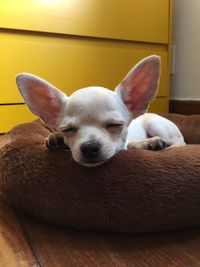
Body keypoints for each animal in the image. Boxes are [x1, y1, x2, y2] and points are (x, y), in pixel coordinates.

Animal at [15, 55, 184, 166]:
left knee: (178, 143)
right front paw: (57, 139)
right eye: (67, 130)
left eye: (115, 125)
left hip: (156, 125)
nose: (89, 147)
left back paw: (156, 143)